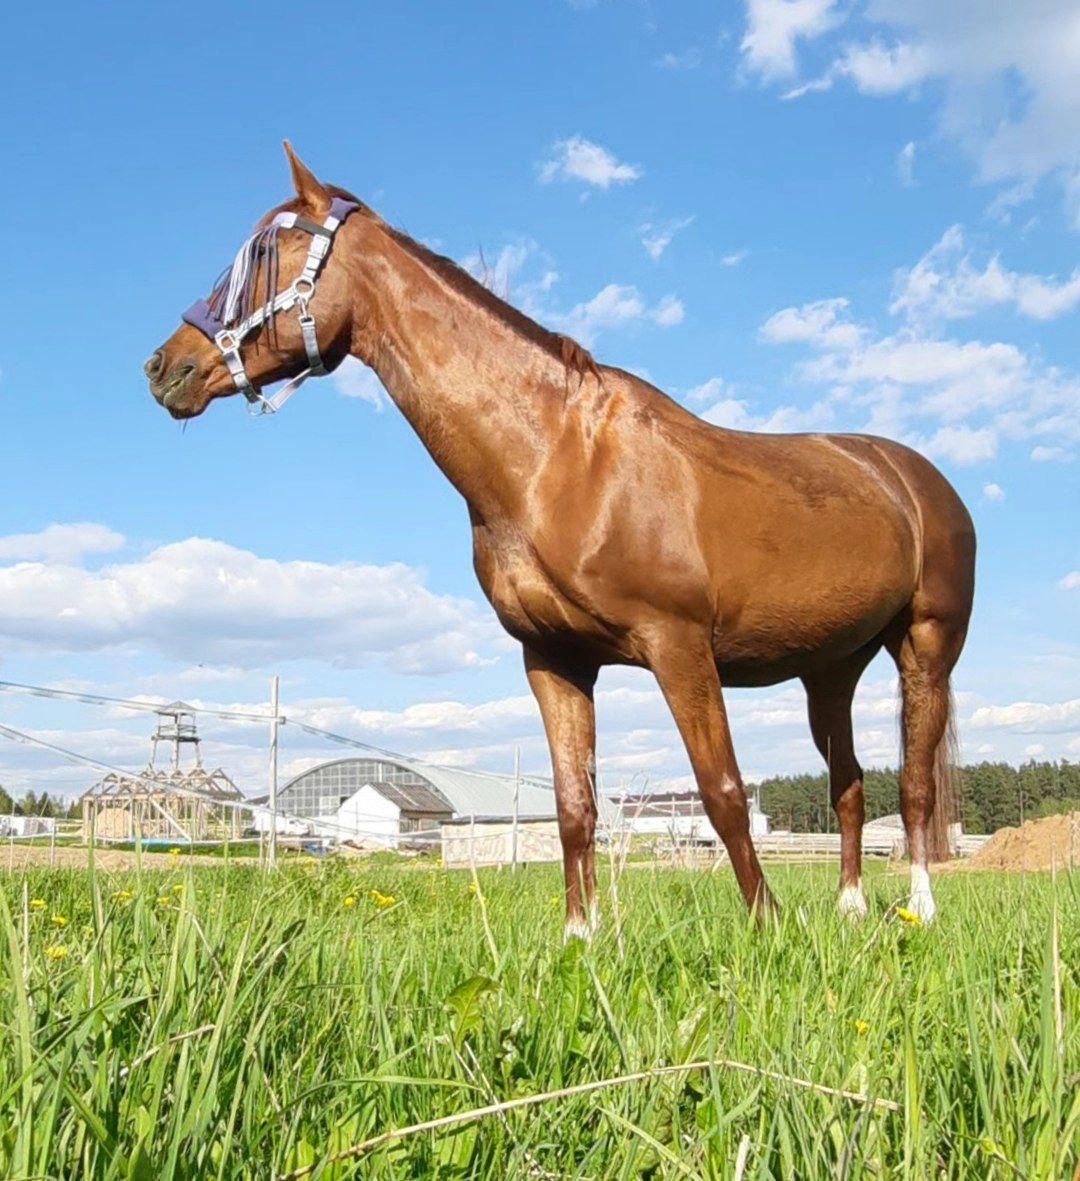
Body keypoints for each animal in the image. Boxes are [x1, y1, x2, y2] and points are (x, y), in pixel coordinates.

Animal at [145, 147, 978, 935]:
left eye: (271, 250)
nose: (165, 366)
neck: (557, 460)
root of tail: (915, 478)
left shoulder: (680, 649)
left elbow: (723, 793)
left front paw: (767, 926)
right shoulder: (554, 659)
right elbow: (574, 807)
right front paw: (582, 937)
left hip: (924, 649)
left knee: (913, 789)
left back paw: (921, 910)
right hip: (829, 669)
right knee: (850, 784)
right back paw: (852, 909)